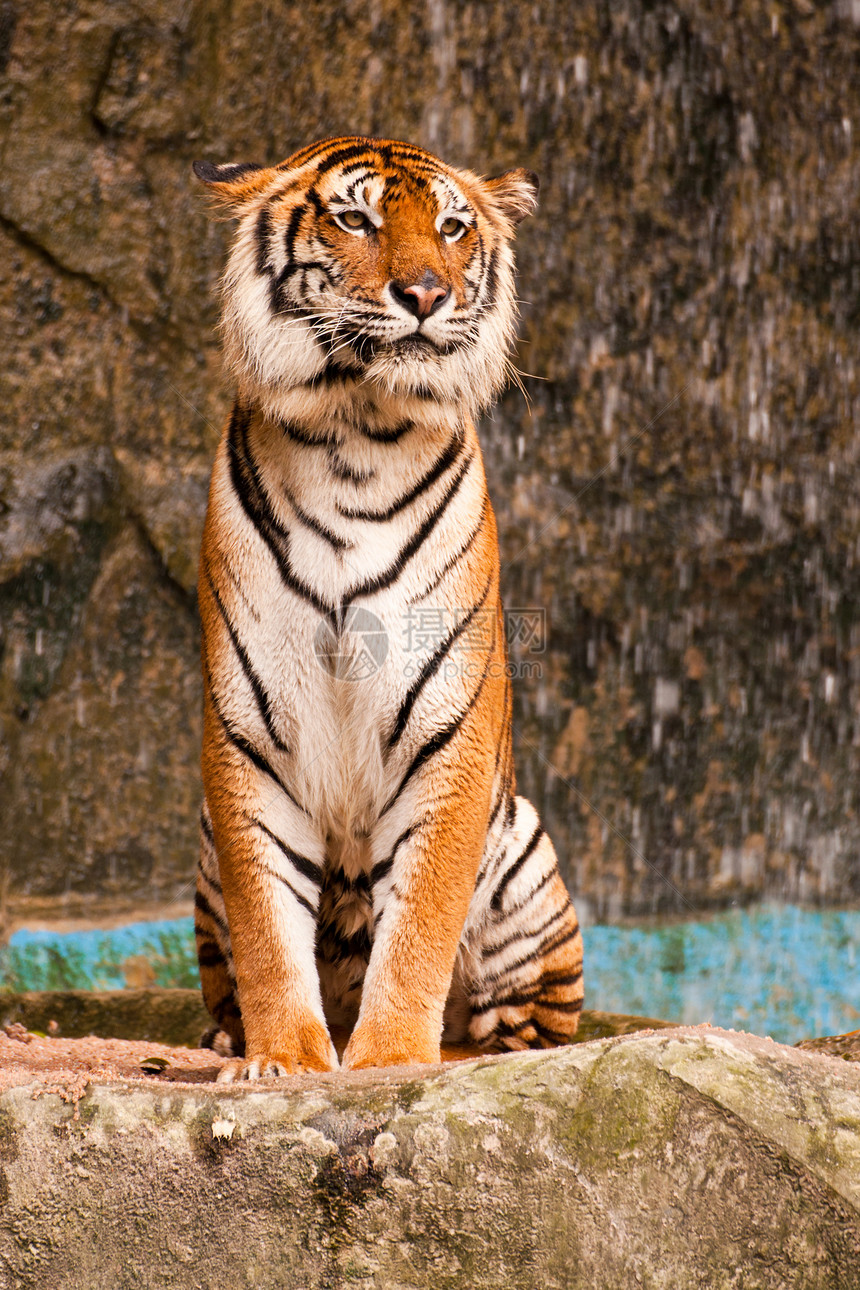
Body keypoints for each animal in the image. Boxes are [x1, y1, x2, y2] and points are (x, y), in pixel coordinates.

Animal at [192, 133, 585, 1078]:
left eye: (451, 228)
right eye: (355, 219)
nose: (425, 295)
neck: (354, 430)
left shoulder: (448, 729)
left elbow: (421, 919)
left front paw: (393, 1059)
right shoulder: (249, 733)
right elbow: (268, 924)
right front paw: (285, 1058)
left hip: (525, 855)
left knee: (522, 1023)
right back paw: (231, 1035)